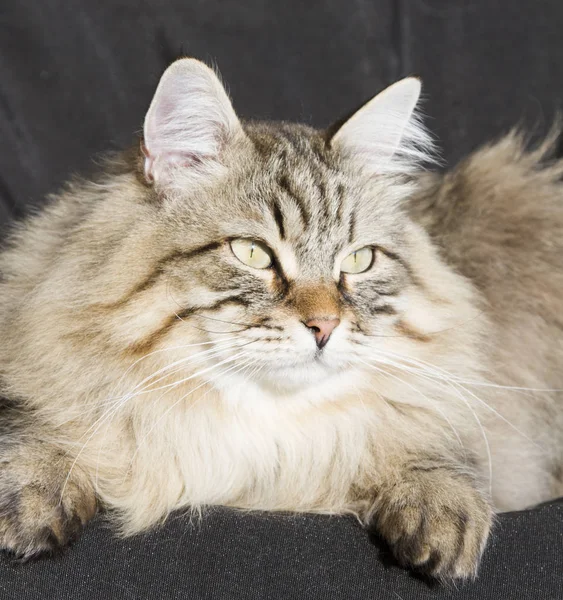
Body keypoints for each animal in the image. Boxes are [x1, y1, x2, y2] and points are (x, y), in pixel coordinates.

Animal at [1, 57, 563, 580]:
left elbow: (438, 456)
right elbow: (38, 433)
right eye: (253, 253)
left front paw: (441, 510)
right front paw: (33, 492)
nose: (325, 327)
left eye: (359, 260)